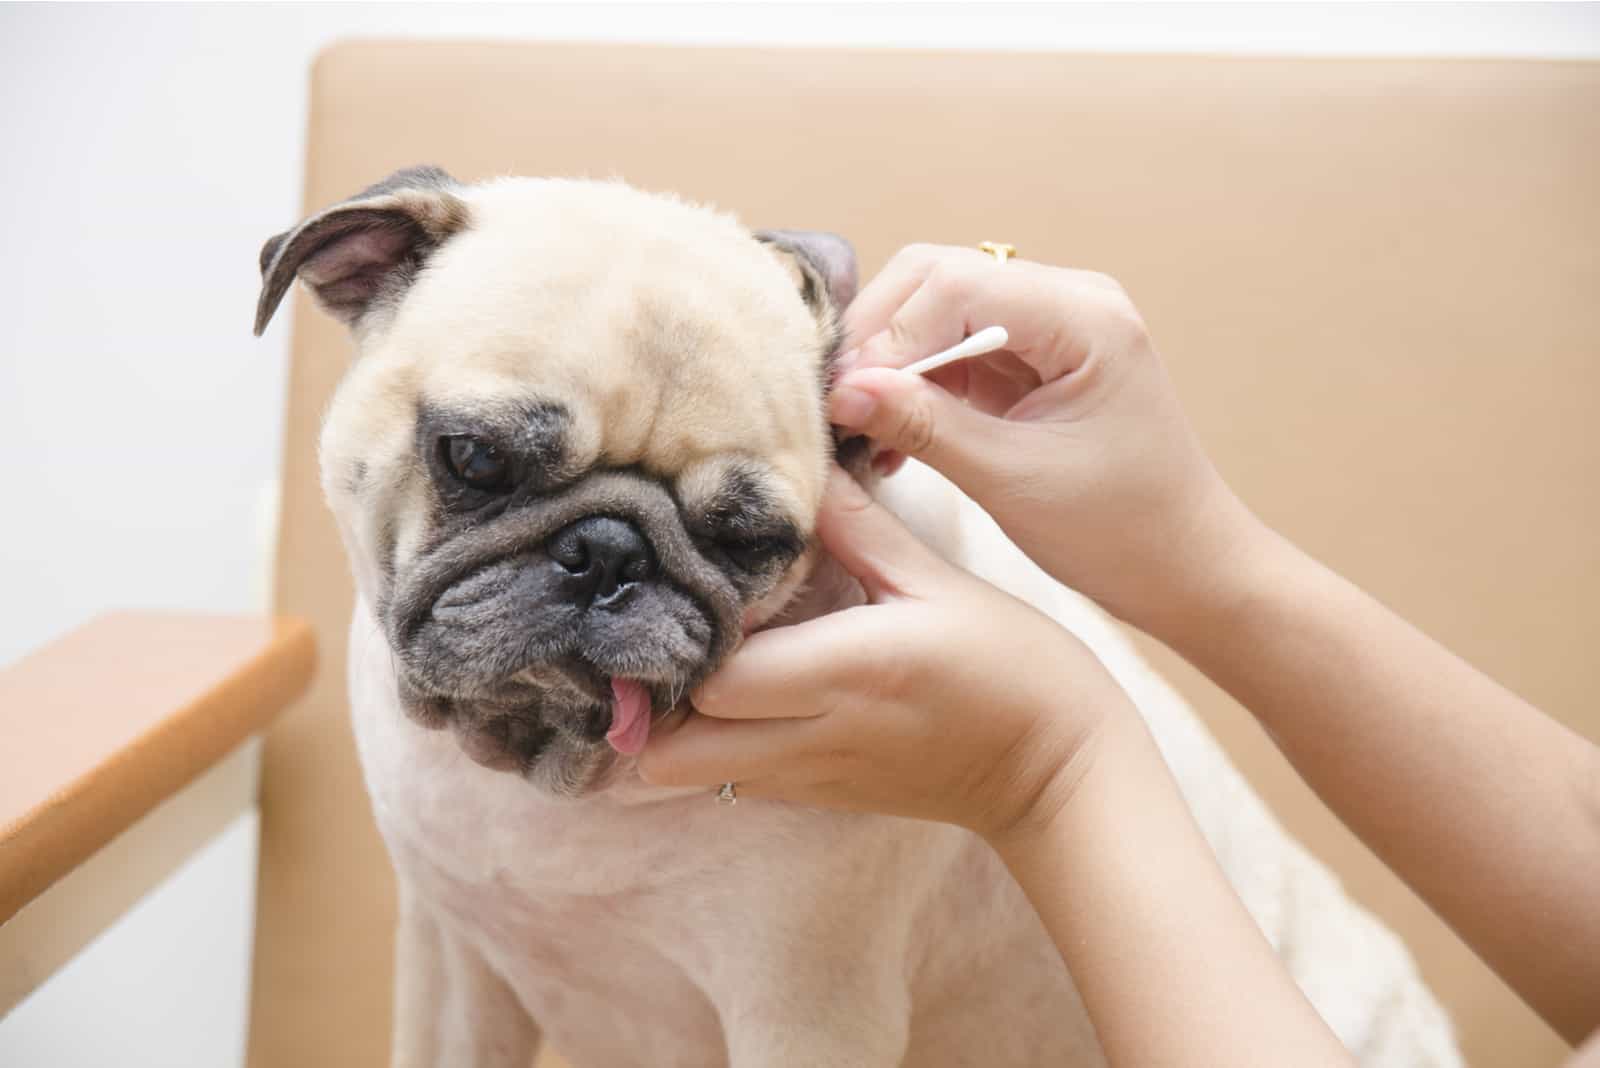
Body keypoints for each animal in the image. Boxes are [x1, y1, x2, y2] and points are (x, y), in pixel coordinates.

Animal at [252, 167, 1465, 1068]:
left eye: (748, 540)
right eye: (474, 457)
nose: (606, 556)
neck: (547, 784)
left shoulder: (802, 1010)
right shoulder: (452, 966)